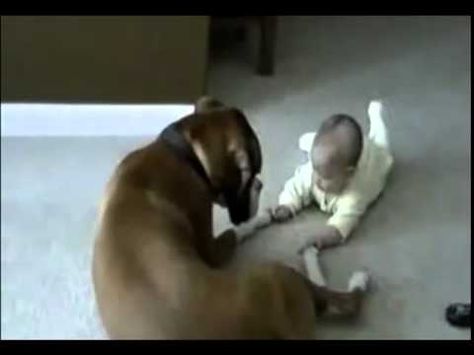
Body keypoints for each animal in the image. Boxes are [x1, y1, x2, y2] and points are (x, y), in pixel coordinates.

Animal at [90, 96, 368, 340]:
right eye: (250, 173)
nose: (259, 183)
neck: (181, 153)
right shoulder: (211, 246)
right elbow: (237, 231)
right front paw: (261, 218)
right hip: (275, 274)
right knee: (338, 299)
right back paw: (345, 273)